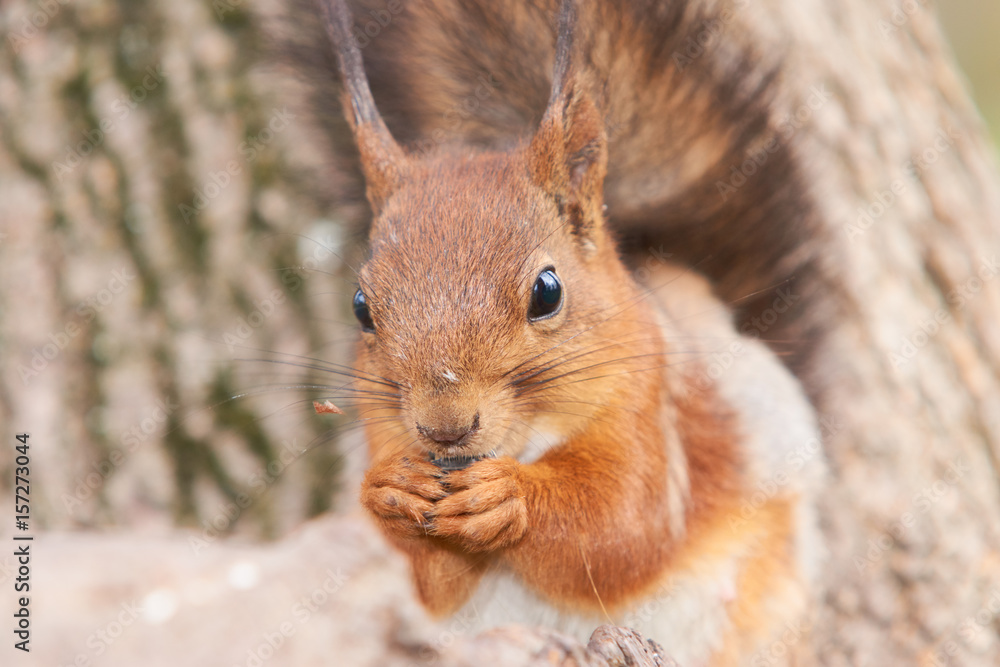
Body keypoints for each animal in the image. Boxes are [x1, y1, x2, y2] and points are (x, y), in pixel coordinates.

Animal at [291, 0, 829, 663]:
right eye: (362, 307)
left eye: (547, 292)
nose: (445, 428)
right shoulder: (380, 434)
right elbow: (417, 583)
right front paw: (392, 492)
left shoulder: (650, 414)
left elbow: (622, 527)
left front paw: (510, 498)